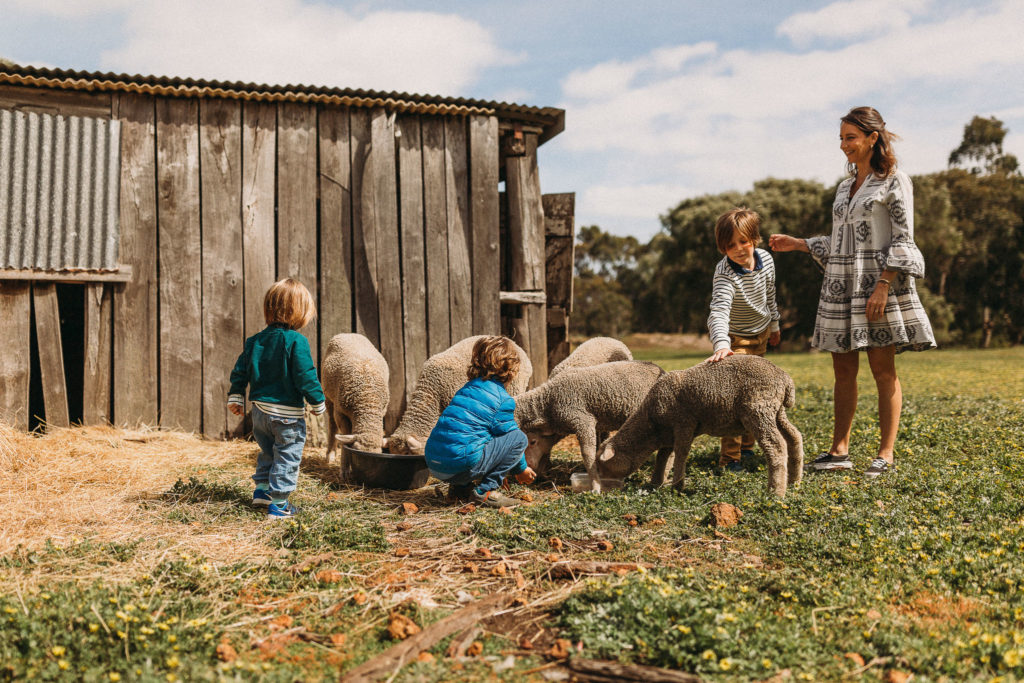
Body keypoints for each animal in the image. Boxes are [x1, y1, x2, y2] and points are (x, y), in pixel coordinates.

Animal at [321, 333, 389, 479]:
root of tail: (348, 333)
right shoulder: (340, 413)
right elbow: (345, 440)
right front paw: (344, 470)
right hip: (328, 397)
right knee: (332, 425)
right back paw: (330, 454)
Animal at [516, 358, 667, 491]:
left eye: (533, 442)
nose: (529, 464)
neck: (549, 402)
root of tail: (659, 368)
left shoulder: (582, 420)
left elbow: (588, 454)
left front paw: (596, 485)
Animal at [598, 352, 802, 497]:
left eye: (602, 466)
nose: (602, 490)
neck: (652, 423)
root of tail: (785, 379)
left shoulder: (683, 424)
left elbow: (680, 453)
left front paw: (677, 486)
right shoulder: (669, 434)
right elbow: (663, 457)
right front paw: (655, 482)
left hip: (759, 410)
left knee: (776, 446)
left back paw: (776, 492)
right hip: (776, 411)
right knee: (794, 437)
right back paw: (794, 481)